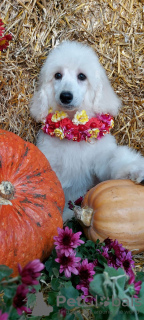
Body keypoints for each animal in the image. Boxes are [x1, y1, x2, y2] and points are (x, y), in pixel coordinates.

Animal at [29, 40, 144, 221]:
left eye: (82, 76)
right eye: (57, 75)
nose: (65, 96)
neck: (73, 130)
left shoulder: (100, 162)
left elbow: (113, 163)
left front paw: (134, 168)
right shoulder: (51, 162)